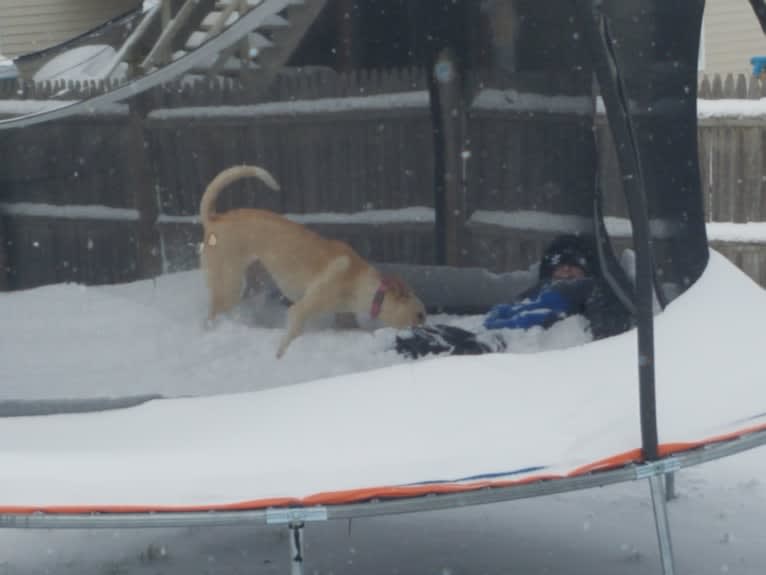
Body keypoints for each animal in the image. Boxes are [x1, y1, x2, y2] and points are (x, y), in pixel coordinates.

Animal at [200, 164, 426, 358]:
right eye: (420, 315)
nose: (427, 328)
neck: (362, 284)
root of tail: (214, 218)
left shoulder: (344, 318)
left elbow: (355, 329)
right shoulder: (301, 310)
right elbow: (289, 338)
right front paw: (280, 357)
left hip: (255, 282)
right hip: (229, 285)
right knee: (211, 315)